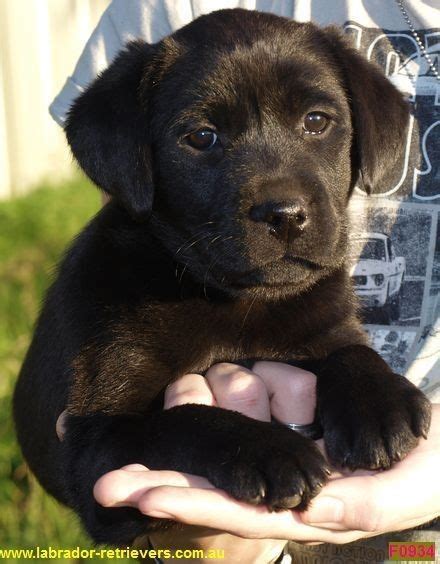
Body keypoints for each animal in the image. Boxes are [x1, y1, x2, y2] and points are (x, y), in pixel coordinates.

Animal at [12, 7, 430, 548]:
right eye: (202, 137)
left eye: (317, 121)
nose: (284, 215)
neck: (232, 301)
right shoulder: (94, 445)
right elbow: (182, 421)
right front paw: (269, 450)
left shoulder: (325, 324)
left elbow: (350, 350)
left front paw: (378, 404)